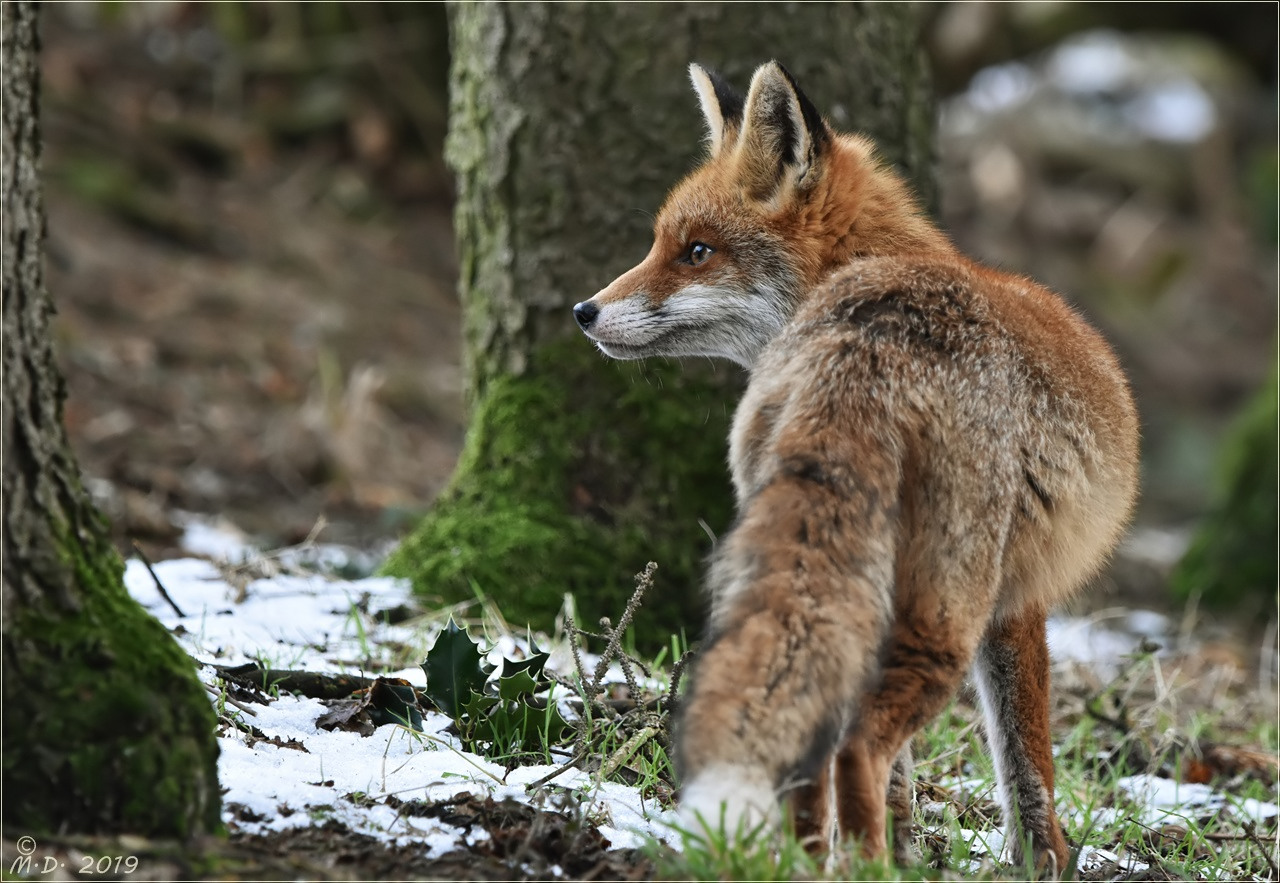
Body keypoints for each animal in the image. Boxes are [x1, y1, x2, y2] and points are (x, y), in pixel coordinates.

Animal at [573, 63, 1141, 875]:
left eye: (696, 251)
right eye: (663, 244)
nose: (583, 311)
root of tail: (868, 340)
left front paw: (906, 851)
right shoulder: (1017, 603)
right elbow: (1027, 759)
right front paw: (1045, 862)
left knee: (825, 745)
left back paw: (823, 858)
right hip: (945, 609)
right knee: (862, 744)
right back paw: (863, 859)